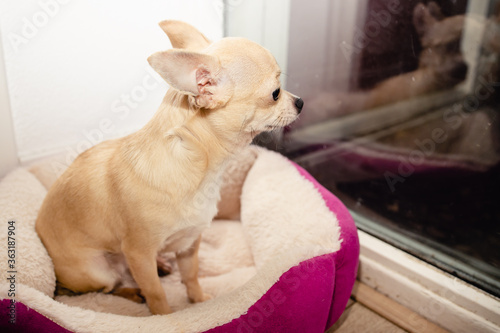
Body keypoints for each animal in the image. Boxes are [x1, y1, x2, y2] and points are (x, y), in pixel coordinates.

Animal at [36, 20, 304, 314]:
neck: (200, 171)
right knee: (111, 286)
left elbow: (191, 275)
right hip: (98, 271)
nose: (300, 102)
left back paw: (161, 266)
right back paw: (134, 292)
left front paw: (199, 301)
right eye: (275, 94)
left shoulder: (190, 242)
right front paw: (164, 316)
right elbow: (156, 292)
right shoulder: (138, 253)